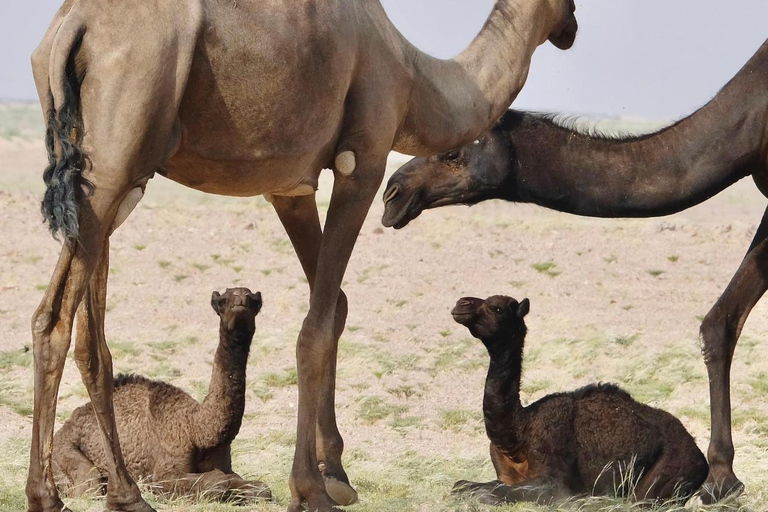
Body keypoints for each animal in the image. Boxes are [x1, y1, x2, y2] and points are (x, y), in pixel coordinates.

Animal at [30, 1, 580, 512]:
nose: (572, 29)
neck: (411, 75)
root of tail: (72, 26)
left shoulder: (289, 188)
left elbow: (334, 304)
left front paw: (336, 473)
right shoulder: (364, 161)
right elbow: (314, 326)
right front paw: (310, 488)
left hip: (108, 178)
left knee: (83, 335)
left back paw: (121, 494)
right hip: (116, 157)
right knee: (56, 319)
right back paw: (50, 495)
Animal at [450, 294, 708, 506]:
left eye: (497, 308)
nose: (461, 304)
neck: (519, 431)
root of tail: (701, 459)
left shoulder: (553, 480)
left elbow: (493, 492)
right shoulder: (504, 474)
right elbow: (462, 485)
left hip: (665, 477)